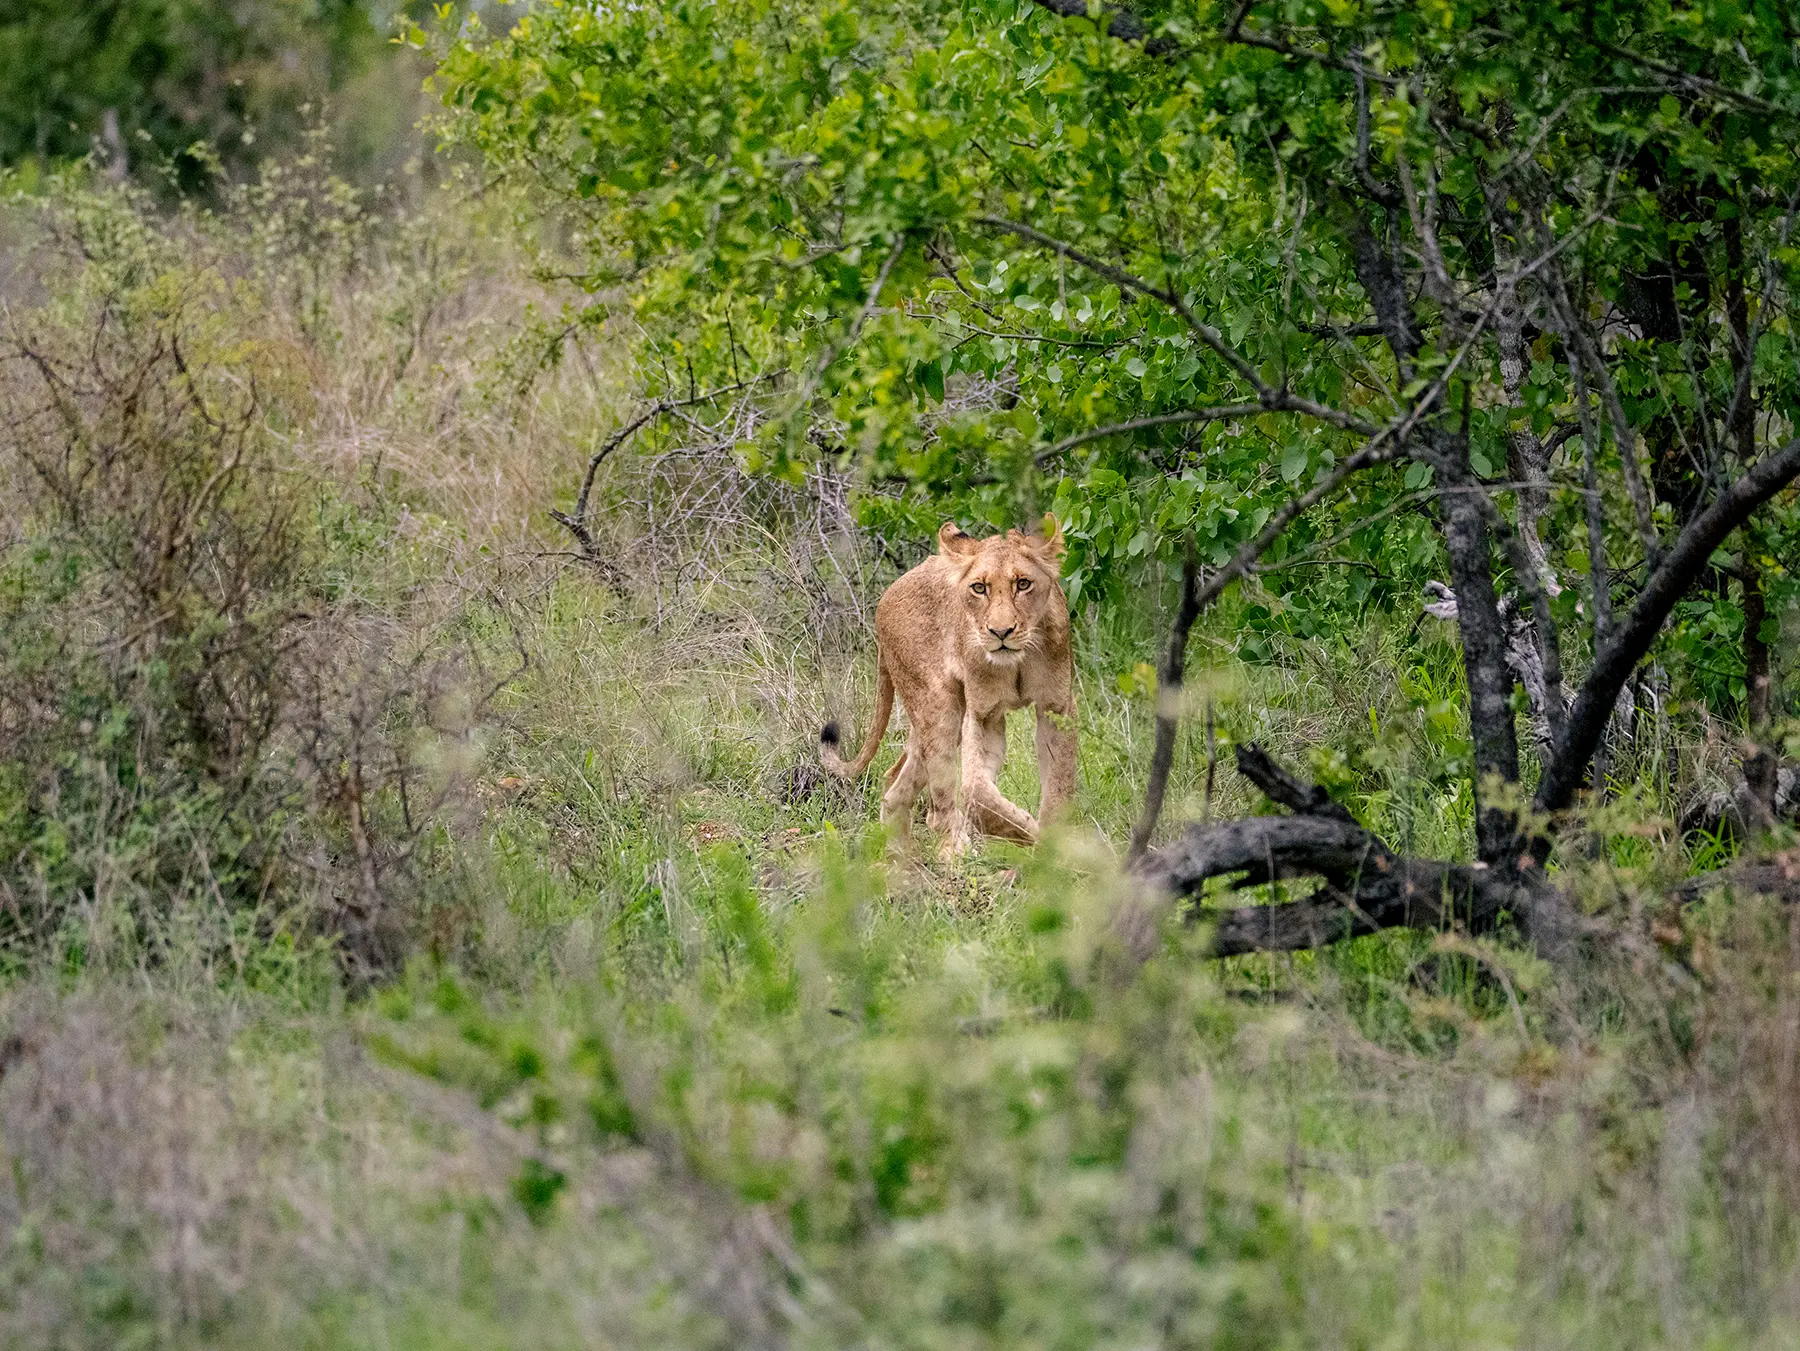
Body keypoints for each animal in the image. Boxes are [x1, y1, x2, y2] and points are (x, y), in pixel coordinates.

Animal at [820, 515, 1076, 857]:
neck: (1018, 660)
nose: (1001, 632)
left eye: (1023, 584)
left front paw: (1055, 846)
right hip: (938, 707)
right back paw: (954, 853)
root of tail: (887, 594)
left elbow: (1059, 782)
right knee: (937, 809)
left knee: (895, 786)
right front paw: (1034, 835)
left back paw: (900, 857)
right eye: (979, 588)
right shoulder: (983, 715)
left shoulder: (1057, 708)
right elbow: (975, 792)